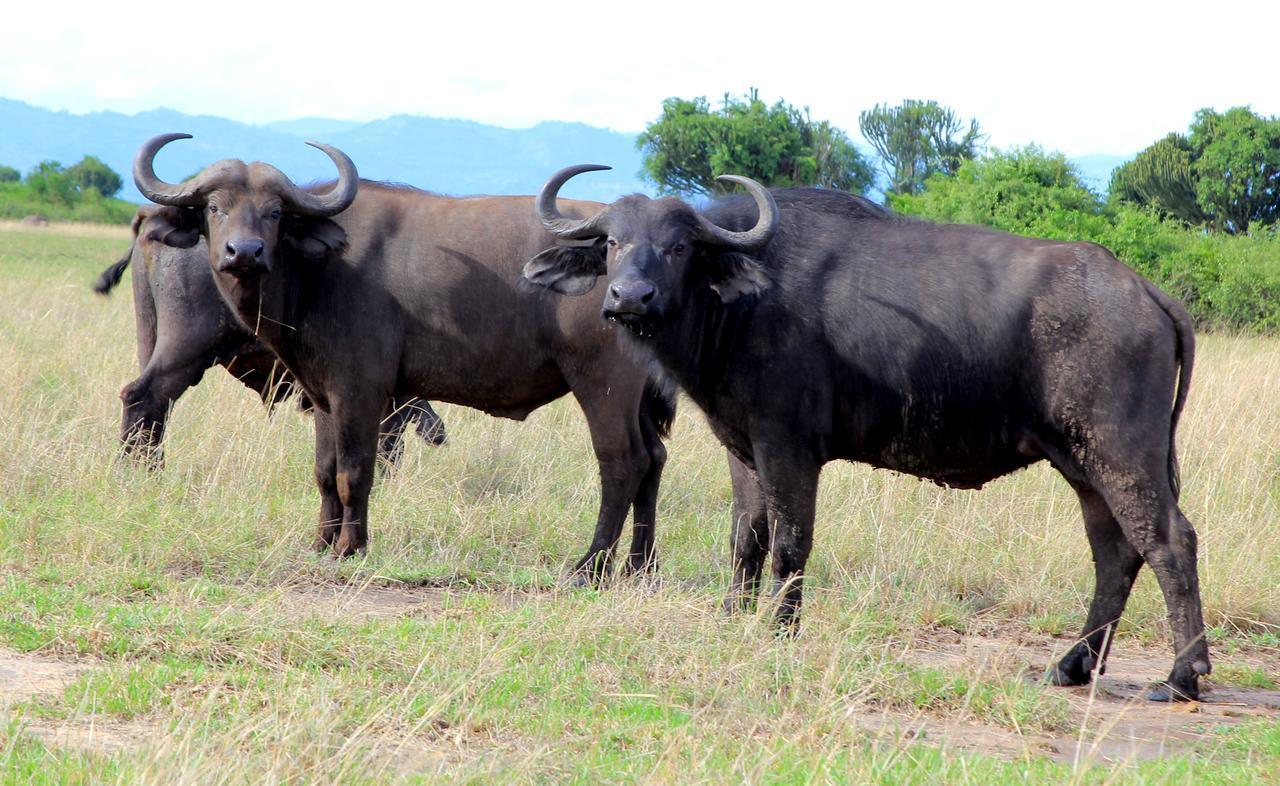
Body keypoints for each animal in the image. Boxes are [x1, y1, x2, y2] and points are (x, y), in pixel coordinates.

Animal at [522, 166, 1208, 701]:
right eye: (613, 242)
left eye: (680, 247)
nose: (629, 297)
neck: (745, 304)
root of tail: (1144, 291)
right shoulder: (742, 447)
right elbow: (746, 536)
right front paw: (734, 614)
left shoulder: (789, 449)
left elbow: (790, 544)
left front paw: (780, 628)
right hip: (1081, 465)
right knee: (1115, 553)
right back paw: (1071, 665)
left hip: (1122, 454)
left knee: (1170, 541)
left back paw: (1182, 675)